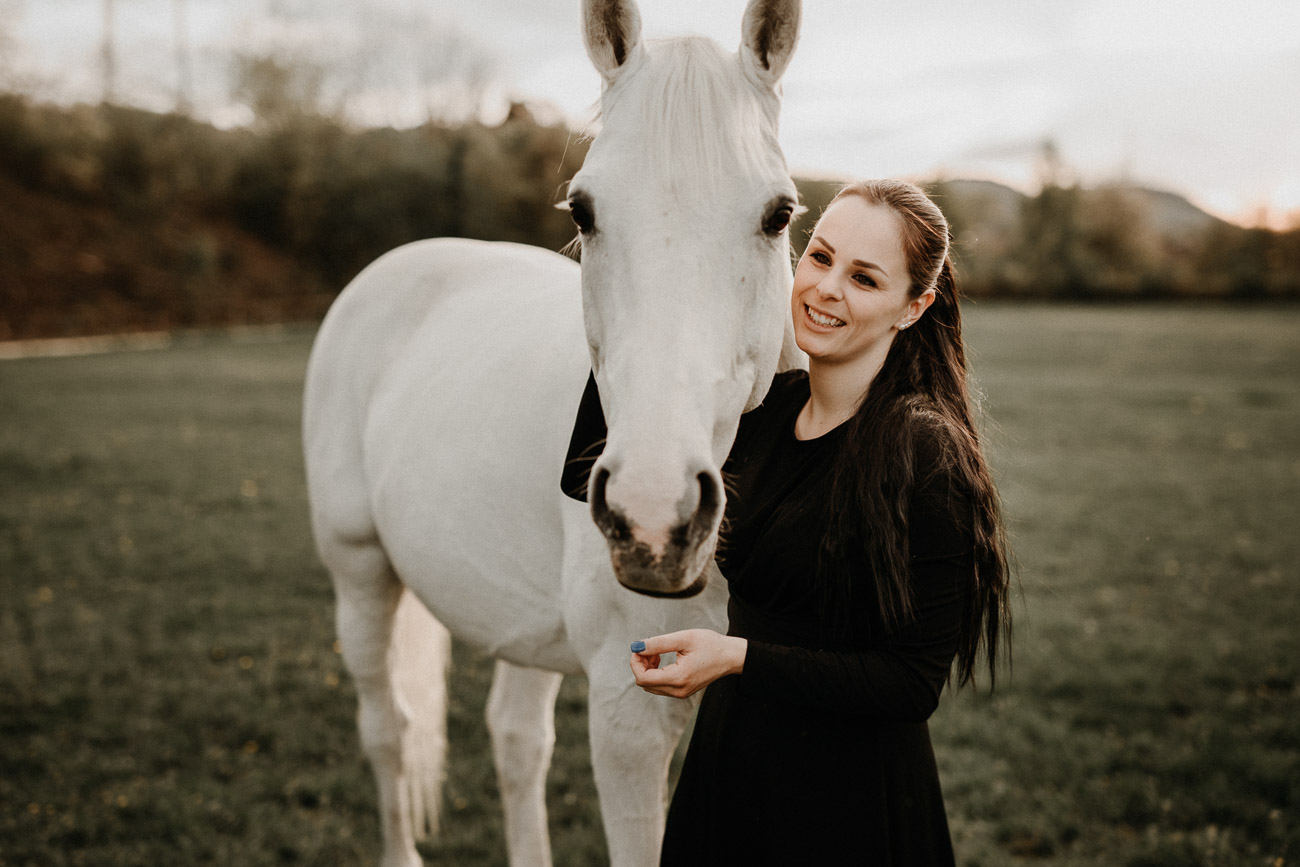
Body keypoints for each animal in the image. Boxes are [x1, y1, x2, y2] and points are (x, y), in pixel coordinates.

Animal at [305, 3, 806, 863]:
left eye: (779, 213)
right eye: (583, 211)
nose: (652, 516)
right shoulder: (628, 714)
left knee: (515, 740)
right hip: (361, 574)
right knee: (388, 732)